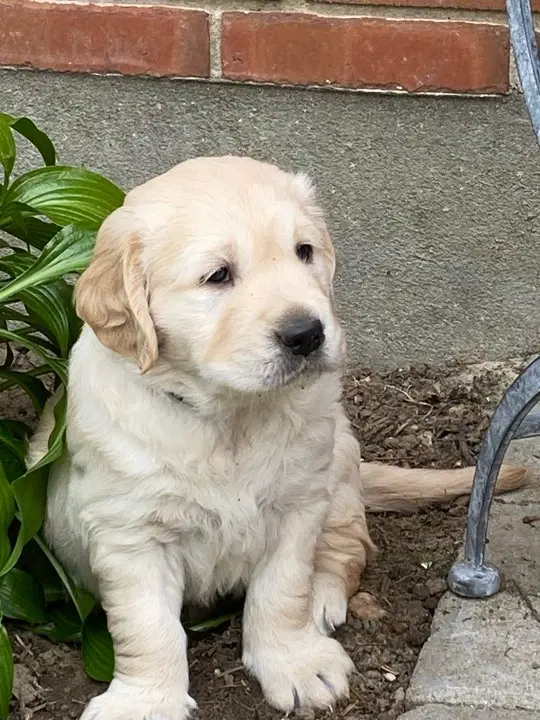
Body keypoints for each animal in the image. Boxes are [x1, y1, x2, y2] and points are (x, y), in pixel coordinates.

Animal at [28, 158, 528, 720]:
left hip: (339, 462)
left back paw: (321, 602)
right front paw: (145, 702)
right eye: (218, 275)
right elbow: (147, 626)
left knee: (347, 549)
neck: (231, 416)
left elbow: (282, 591)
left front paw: (294, 662)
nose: (306, 334)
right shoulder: (131, 534)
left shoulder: (298, 505)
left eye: (304, 251)